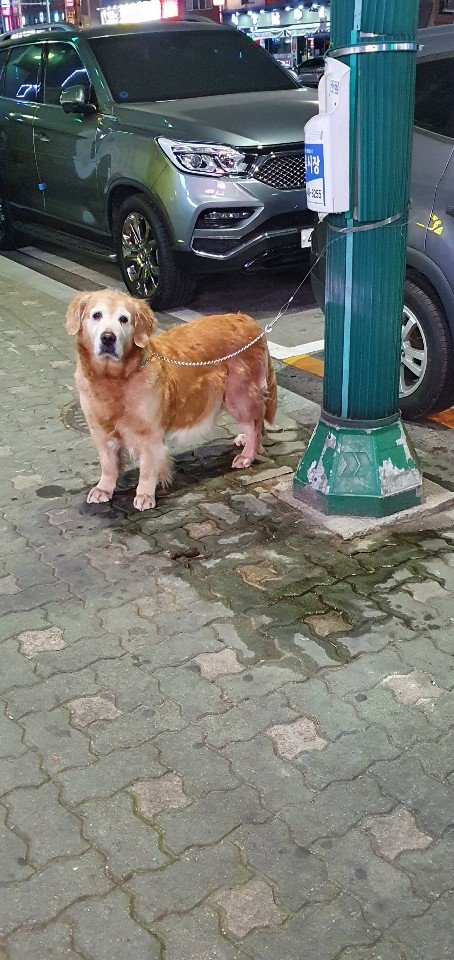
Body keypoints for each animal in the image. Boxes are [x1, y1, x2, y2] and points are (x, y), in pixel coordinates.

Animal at [64, 288, 276, 510]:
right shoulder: (101, 431)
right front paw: (104, 489)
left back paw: (247, 455)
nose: (108, 338)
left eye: (124, 319)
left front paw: (145, 495)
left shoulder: (149, 434)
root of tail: (250, 321)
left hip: (238, 395)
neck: (113, 379)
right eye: (96, 315)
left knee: (254, 424)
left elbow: (147, 469)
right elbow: (108, 464)